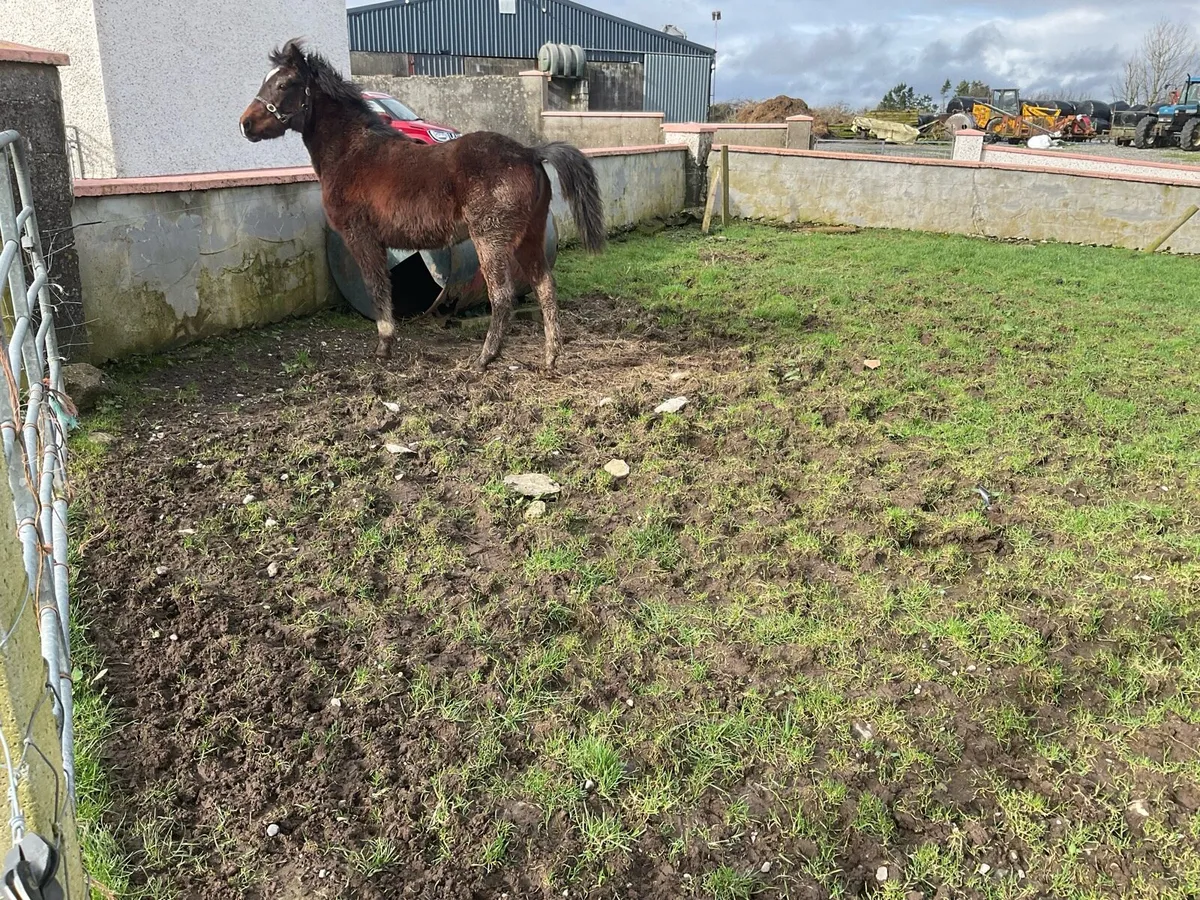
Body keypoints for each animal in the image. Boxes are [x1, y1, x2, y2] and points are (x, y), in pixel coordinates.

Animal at [239, 39, 606, 370]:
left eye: (283, 83)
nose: (245, 124)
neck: (353, 152)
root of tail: (530, 152)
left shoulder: (361, 237)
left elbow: (376, 288)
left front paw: (384, 348)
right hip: (530, 236)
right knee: (544, 287)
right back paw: (550, 356)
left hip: (491, 240)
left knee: (501, 295)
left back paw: (485, 357)